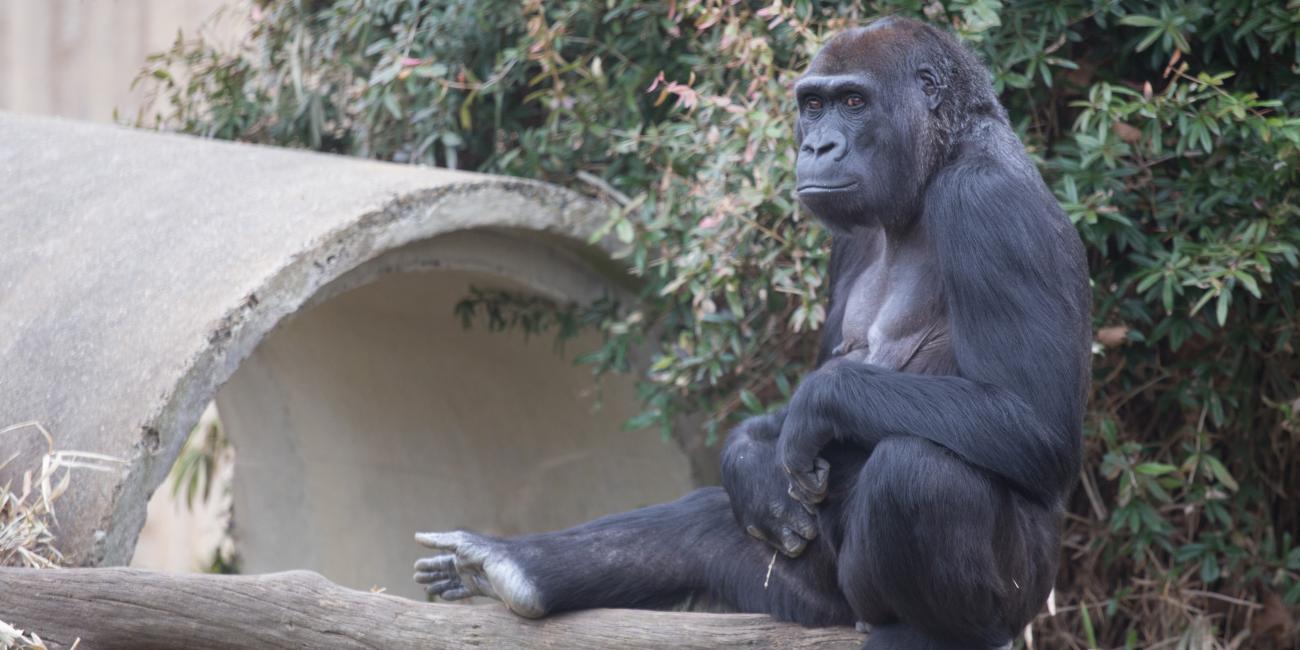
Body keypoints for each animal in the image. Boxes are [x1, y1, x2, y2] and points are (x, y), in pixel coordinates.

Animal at [413, 16, 1086, 650]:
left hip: (1019, 599)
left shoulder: (986, 204)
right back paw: (512, 566)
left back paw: (931, 633)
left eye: (855, 102)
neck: (937, 160)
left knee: (921, 471)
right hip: (818, 598)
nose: (817, 144)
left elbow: (1030, 420)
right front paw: (749, 464)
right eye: (813, 104)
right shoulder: (851, 236)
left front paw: (821, 402)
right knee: (706, 528)